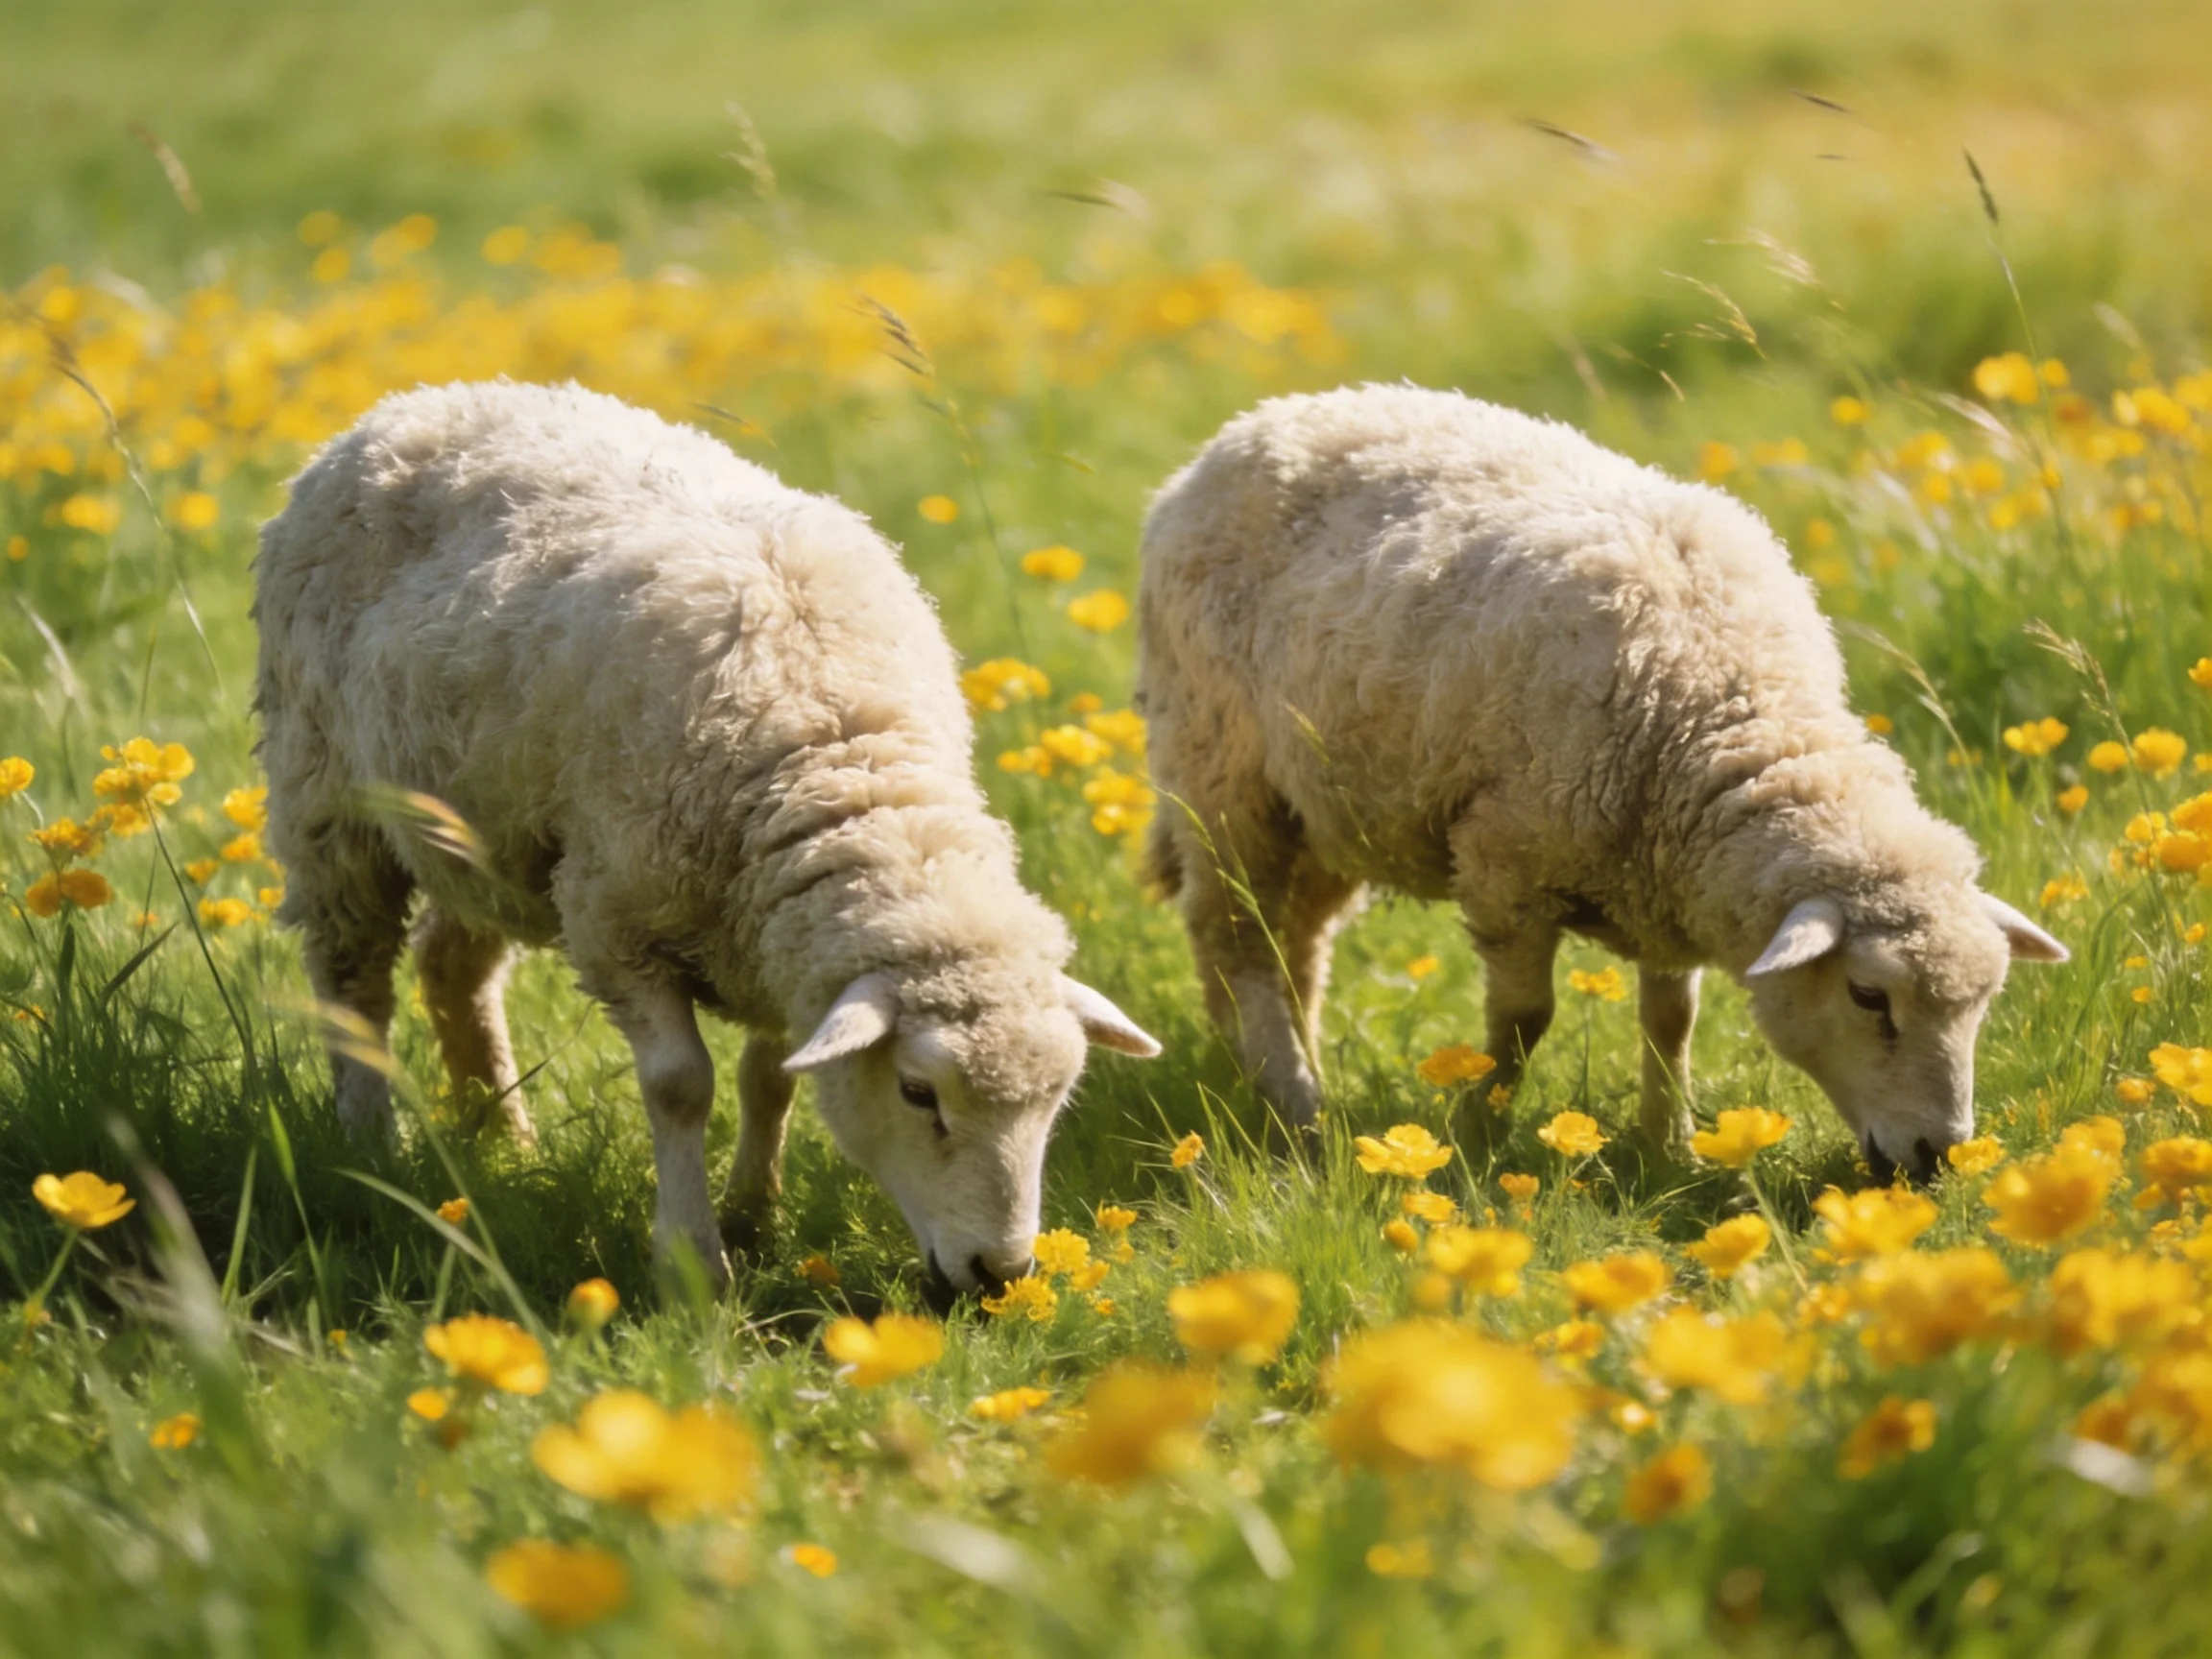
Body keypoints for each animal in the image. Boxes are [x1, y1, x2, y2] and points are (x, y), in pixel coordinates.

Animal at [254, 379, 1158, 1293]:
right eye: (917, 1093)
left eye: (1057, 1099)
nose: (1000, 1273)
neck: (842, 758)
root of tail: (421, 400)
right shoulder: (616, 918)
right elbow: (681, 1086)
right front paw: (692, 1258)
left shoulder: (773, 932)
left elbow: (772, 1079)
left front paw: (755, 1217)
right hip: (326, 795)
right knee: (354, 983)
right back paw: (373, 1143)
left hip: (488, 835)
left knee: (451, 967)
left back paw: (504, 1139)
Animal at [1136, 384, 2066, 1180]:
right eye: (1869, 995)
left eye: (1985, 1001)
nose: (1939, 1155)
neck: (1728, 704)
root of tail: (1266, 419)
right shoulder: (1506, 864)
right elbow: (1522, 1021)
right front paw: (1478, 1133)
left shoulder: (1663, 879)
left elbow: (1671, 1021)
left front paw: (1671, 1146)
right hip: (1220, 771)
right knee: (1233, 933)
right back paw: (1294, 1101)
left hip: (1330, 809)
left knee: (1295, 941)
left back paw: (1268, 1065)